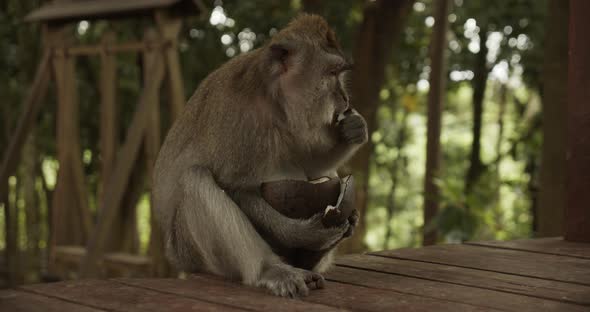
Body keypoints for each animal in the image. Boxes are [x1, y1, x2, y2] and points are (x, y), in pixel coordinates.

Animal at [155, 14, 372, 298]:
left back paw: (313, 258)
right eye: (332, 74)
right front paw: (302, 234)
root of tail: (176, 260)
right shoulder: (241, 119)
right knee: (195, 180)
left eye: (341, 74)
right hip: (192, 253)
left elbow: (308, 164)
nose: (345, 100)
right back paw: (271, 270)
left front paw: (351, 130)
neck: (273, 98)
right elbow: (236, 188)